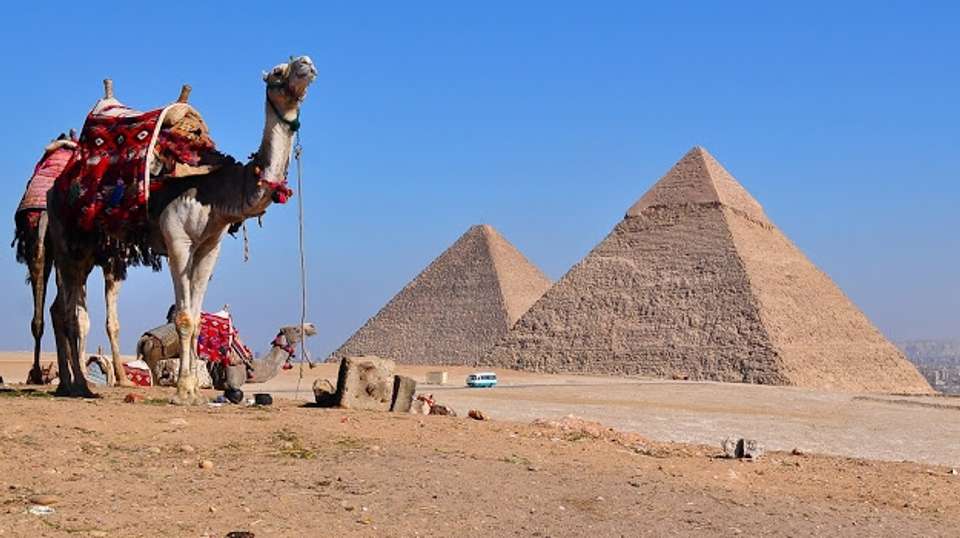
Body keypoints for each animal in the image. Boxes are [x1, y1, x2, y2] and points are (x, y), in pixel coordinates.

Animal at [13, 134, 131, 387]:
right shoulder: (112, 262)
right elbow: (110, 322)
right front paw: (123, 379)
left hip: (39, 248)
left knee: (43, 315)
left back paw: (47, 375)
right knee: (64, 312)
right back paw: (74, 376)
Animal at [47, 55, 317, 403]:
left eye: (299, 62)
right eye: (278, 71)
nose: (307, 64)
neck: (215, 191)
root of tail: (56, 187)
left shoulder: (209, 245)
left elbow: (199, 319)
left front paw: (192, 389)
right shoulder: (177, 240)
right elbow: (185, 317)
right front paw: (182, 391)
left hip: (95, 251)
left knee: (62, 308)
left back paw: (67, 383)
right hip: (69, 246)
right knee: (71, 313)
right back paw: (79, 385)